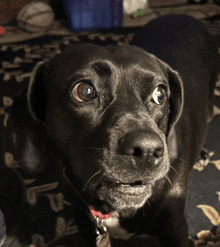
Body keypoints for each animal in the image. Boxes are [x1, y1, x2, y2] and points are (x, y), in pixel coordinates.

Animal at [7, 14, 219, 247]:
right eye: (85, 91)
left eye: (160, 94)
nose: (147, 151)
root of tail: (183, 15)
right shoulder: (84, 221)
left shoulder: (176, 228)